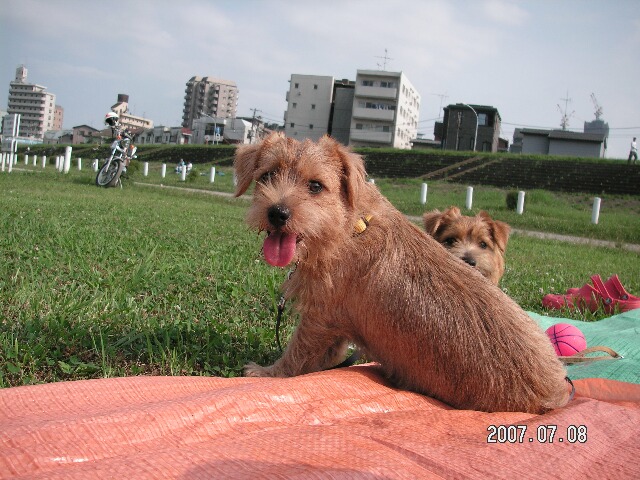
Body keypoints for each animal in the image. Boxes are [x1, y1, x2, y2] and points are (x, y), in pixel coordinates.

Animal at [234, 133, 569, 413]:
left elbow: (297, 352)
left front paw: (267, 373)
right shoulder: (335, 326)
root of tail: (557, 395)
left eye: (316, 185)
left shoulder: (320, 317)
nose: (277, 213)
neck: (350, 227)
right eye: (267, 175)